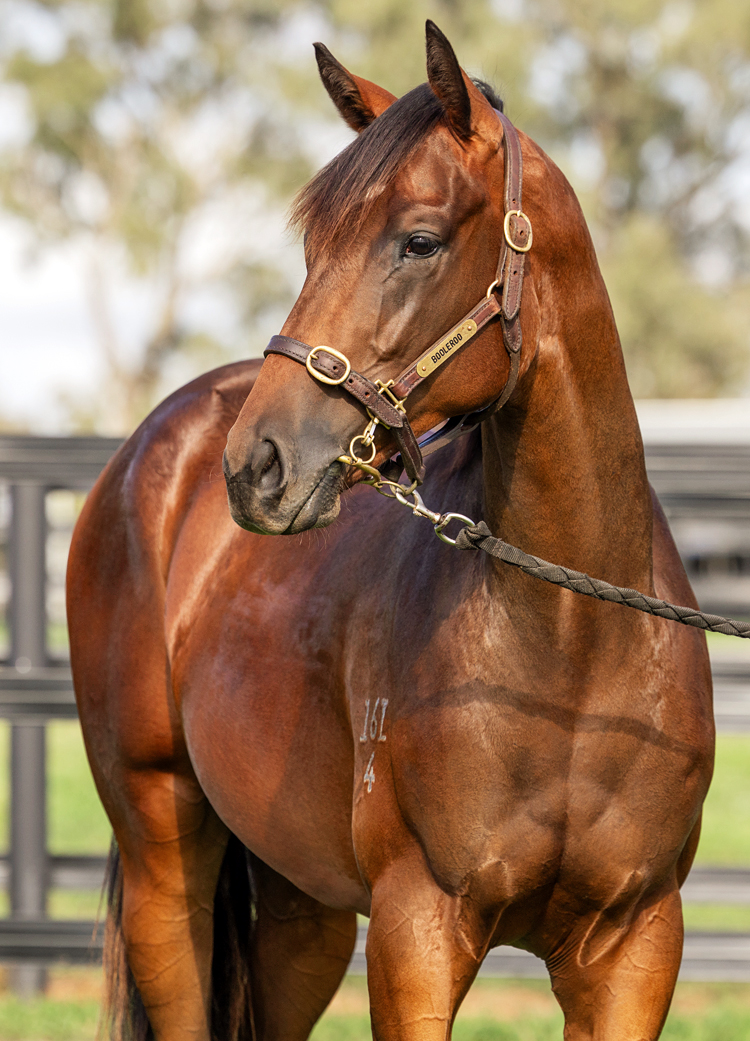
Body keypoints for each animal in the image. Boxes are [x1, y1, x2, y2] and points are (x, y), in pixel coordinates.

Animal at [67, 21, 714, 1041]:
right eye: (312, 245)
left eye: (418, 241)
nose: (258, 464)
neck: (573, 648)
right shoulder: (418, 930)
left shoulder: (636, 948)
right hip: (161, 851)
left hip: (304, 903)